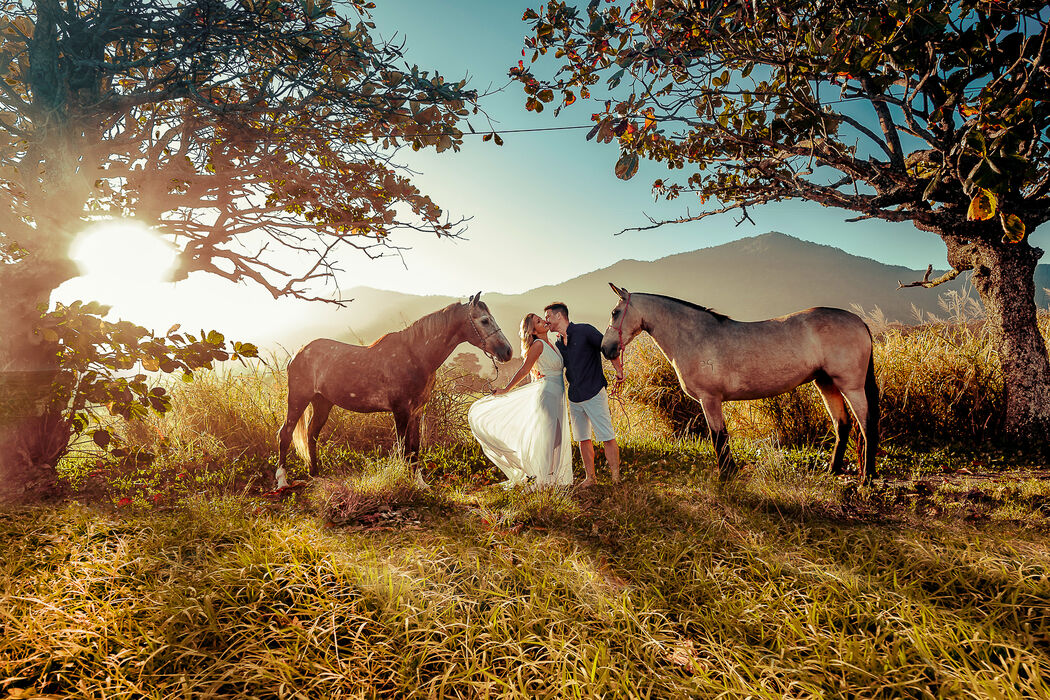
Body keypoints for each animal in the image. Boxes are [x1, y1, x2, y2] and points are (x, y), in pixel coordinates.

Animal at [275, 293, 512, 491]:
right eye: (484, 320)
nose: (507, 351)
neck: (416, 354)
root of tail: (297, 354)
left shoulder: (416, 412)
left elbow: (414, 447)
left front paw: (420, 484)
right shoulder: (401, 411)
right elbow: (403, 449)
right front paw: (403, 480)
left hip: (322, 402)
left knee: (311, 434)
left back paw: (315, 474)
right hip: (298, 399)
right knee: (285, 434)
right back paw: (282, 482)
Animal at [600, 283, 877, 482]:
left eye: (615, 312)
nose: (605, 349)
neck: (695, 335)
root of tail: (859, 322)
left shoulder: (710, 399)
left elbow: (718, 436)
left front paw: (725, 476)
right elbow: (721, 436)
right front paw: (729, 472)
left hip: (851, 386)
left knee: (866, 424)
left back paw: (867, 478)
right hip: (825, 383)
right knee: (842, 424)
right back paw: (832, 470)